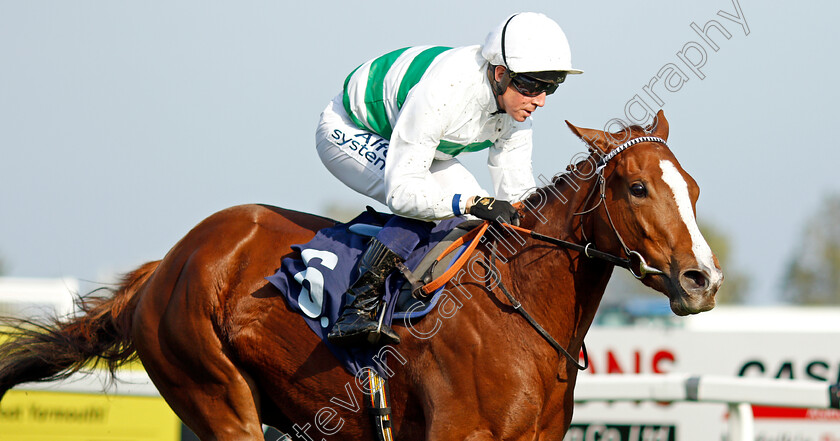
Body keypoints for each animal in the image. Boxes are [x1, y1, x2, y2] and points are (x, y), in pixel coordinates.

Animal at [0, 109, 720, 436]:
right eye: (635, 188)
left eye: (691, 187)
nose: (701, 280)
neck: (517, 311)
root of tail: (163, 269)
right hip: (215, 393)